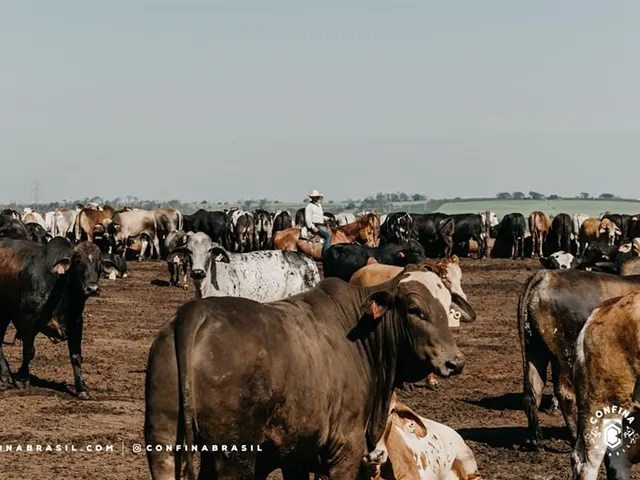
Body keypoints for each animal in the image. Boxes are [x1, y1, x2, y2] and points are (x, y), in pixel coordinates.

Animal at [0, 238, 106, 400]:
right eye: (77, 260)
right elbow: (28, 352)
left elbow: (76, 356)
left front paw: (81, 388)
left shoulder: (77, 323)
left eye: (99, 262)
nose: (92, 288)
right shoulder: (28, 319)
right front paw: (22, 379)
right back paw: (6, 377)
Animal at [145, 264, 464, 478]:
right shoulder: (345, 449)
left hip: (163, 442)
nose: (455, 362)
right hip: (234, 454)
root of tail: (194, 314)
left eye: (448, 307)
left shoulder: (295, 453)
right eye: (414, 309)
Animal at [516, 268, 640, 448]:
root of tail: (548, 275)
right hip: (564, 353)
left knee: (534, 389)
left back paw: (535, 439)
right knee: (566, 393)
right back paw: (576, 437)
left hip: (535, 348)